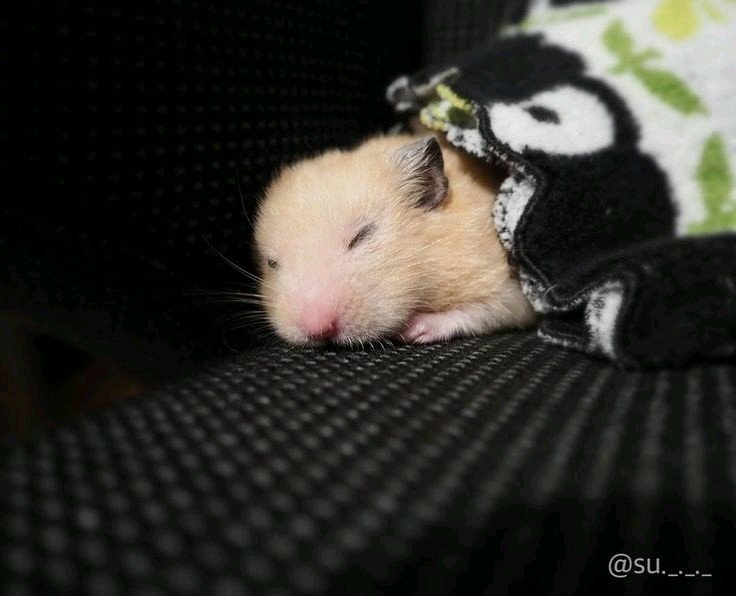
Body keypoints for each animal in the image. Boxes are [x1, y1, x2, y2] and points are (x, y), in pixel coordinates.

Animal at [253, 133, 535, 346]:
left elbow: (487, 309)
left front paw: (412, 330)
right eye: (272, 263)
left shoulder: (506, 284)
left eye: (362, 235)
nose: (318, 330)